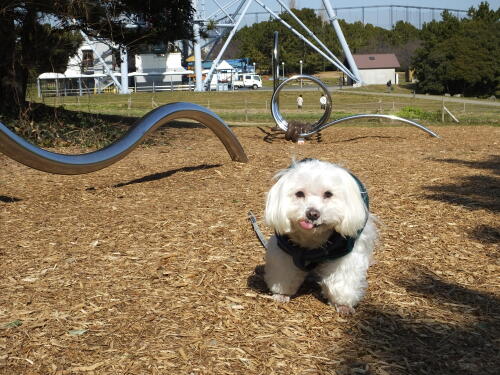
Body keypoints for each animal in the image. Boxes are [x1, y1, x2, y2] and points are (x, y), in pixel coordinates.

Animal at [264, 159, 376, 314]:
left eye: (328, 194)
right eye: (299, 193)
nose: (312, 214)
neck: (313, 238)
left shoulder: (344, 254)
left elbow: (343, 279)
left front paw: (342, 304)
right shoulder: (284, 250)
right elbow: (284, 272)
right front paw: (281, 294)